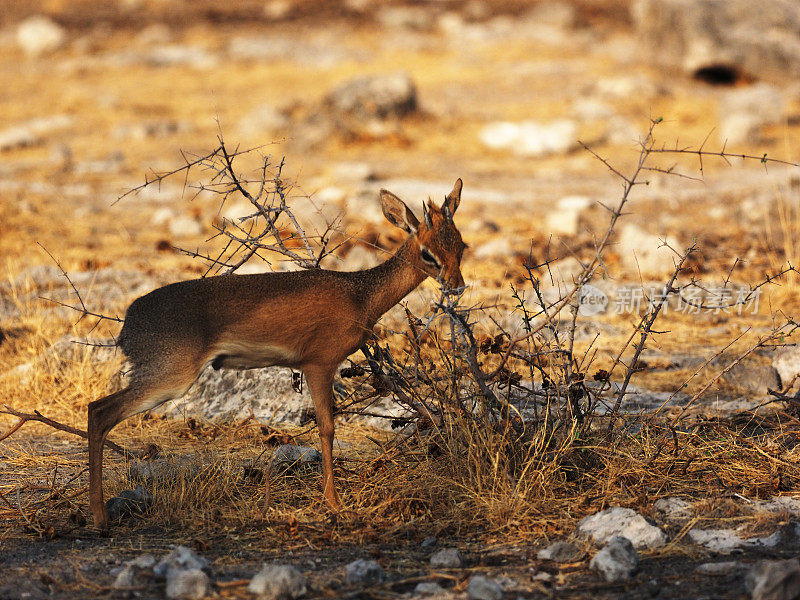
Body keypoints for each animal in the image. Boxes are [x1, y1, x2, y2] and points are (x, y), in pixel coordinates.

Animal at [87, 177, 466, 524]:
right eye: (428, 253)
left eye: (460, 245)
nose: (457, 286)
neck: (360, 295)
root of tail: (128, 323)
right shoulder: (318, 364)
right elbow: (327, 429)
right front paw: (333, 503)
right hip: (170, 378)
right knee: (99, 411)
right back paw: (99, 518)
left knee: (96, 410)